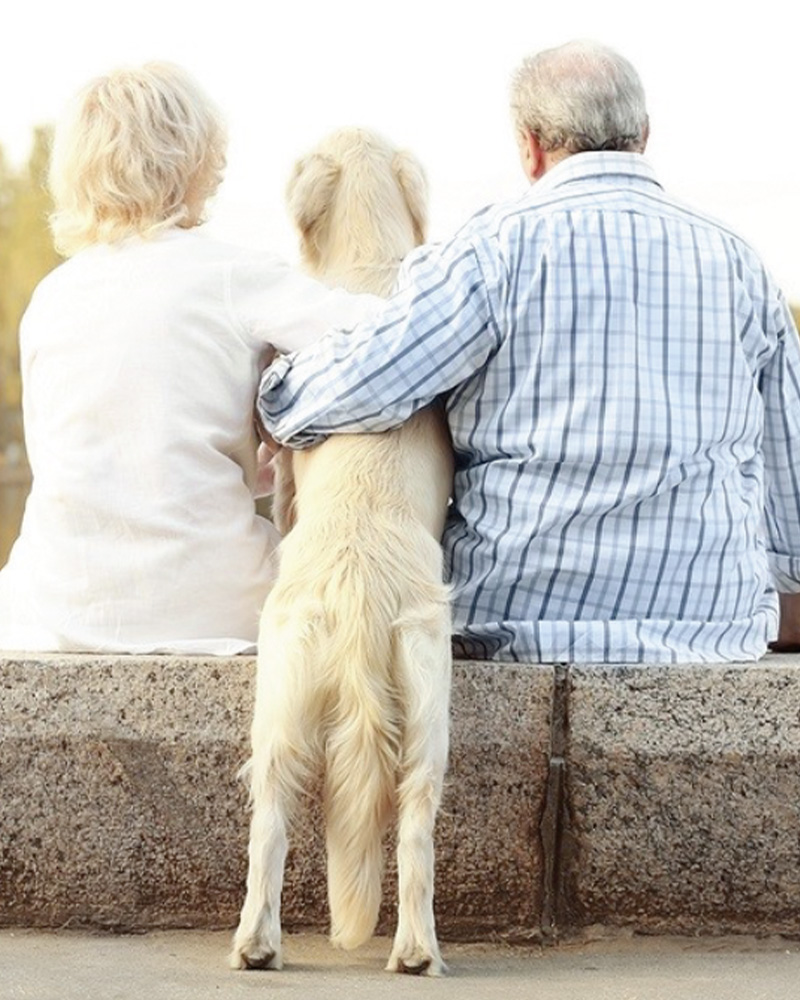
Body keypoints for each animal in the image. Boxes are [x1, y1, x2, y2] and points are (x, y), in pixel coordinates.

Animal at [231, 127, 456, 976]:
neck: (367, 265)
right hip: (416, 703)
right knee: (411, 817)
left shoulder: (286, 472)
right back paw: (407, 950)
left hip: (283, 691)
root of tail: (358, 589)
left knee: (273, 817)